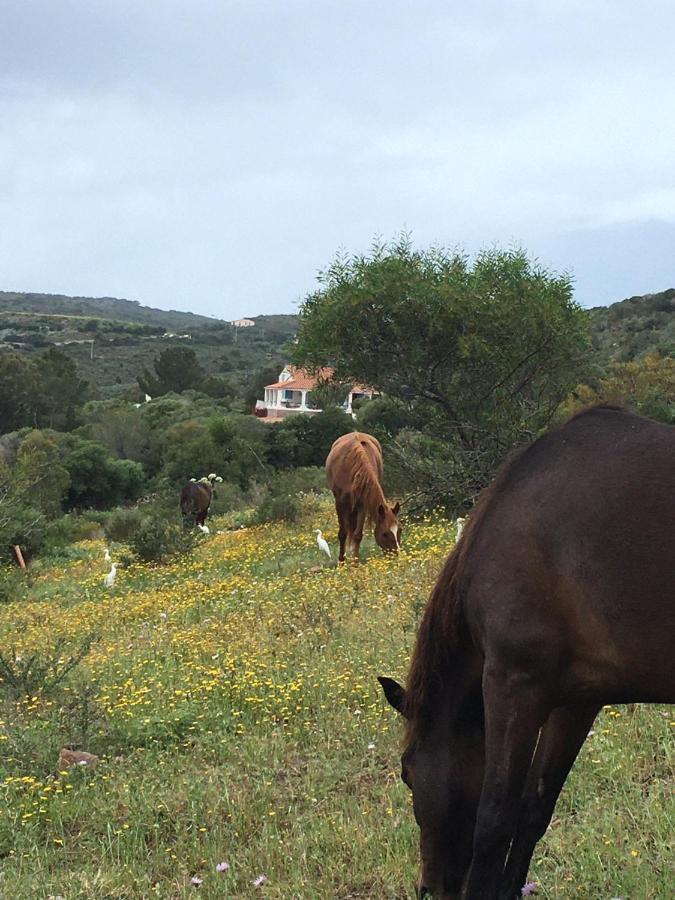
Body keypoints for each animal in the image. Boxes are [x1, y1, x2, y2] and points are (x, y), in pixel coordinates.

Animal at [328, 430, 402, 564]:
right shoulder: (340, 503)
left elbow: (357, 535)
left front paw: (355, 563)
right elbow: (342, 533)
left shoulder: (362, 504)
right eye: (385, 534)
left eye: (400, 529)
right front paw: (341, 562)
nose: (395, 556)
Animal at [380, 408, 675, 900]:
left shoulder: (513, 684)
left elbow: (495, 819)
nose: (429, 888)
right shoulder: (576, 700)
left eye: (406, 771)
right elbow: (536, 806)